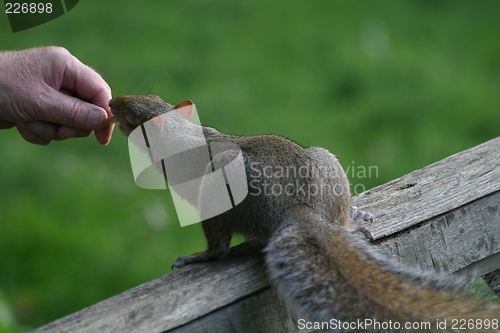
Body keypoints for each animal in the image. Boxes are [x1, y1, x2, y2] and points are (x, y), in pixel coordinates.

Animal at [109, 94, 500, 332]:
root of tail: (295, 209)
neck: (180, 137)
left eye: (131, 116)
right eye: (148, 98)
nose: (112, 101)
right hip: (326, 166)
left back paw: (200, 256)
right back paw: (351, 222)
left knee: (219, 246)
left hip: (216, 199)